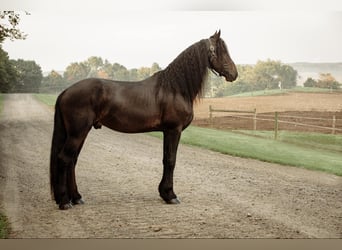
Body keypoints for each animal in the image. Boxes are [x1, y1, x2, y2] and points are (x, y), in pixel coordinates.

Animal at [50, 30, 238, 209]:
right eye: (221, 51)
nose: (234, 74)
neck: (174, 89)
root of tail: (65, 92)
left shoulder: (167, 131)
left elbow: (166, 160)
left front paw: (164, 193)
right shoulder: (174, 130)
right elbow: (171, 161)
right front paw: (170, 195)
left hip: (79, 133)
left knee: (72, 161)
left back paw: (77, 198)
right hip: (78, 133)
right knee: (64, 159)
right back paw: (64, 201)